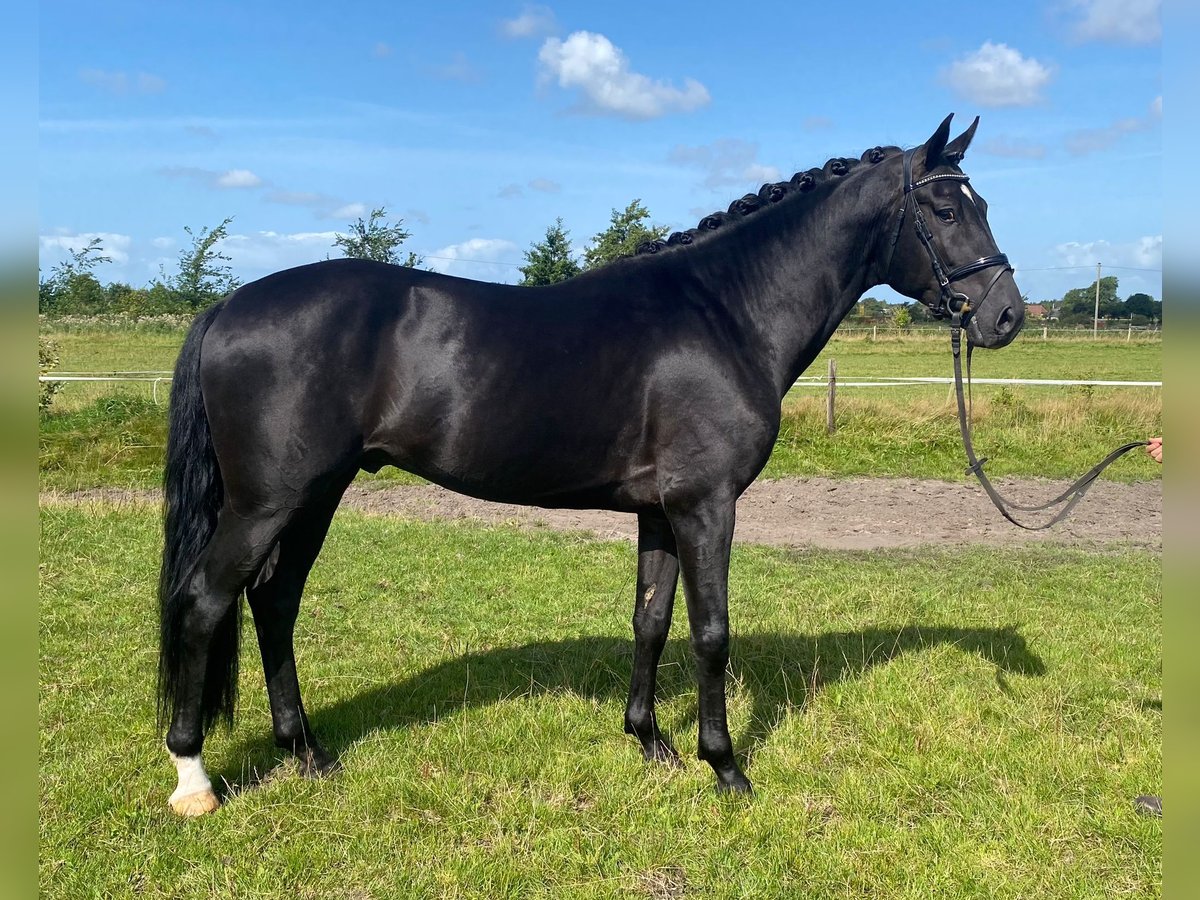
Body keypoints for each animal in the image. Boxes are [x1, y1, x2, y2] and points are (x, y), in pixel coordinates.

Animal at [159, 114, 1022, 816]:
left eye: (982, 205)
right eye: (947, 210)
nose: (1006, 316)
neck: (726, 312)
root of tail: (227, 307)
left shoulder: (661, 511)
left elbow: (651, 620)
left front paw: (651, 742)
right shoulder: (707, 504)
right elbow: (711, 631)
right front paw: (726, 769)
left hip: (317, 495)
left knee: (274, 603)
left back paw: (306, 752)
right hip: (270, 501)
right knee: (205, 601)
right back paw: (194, 778)